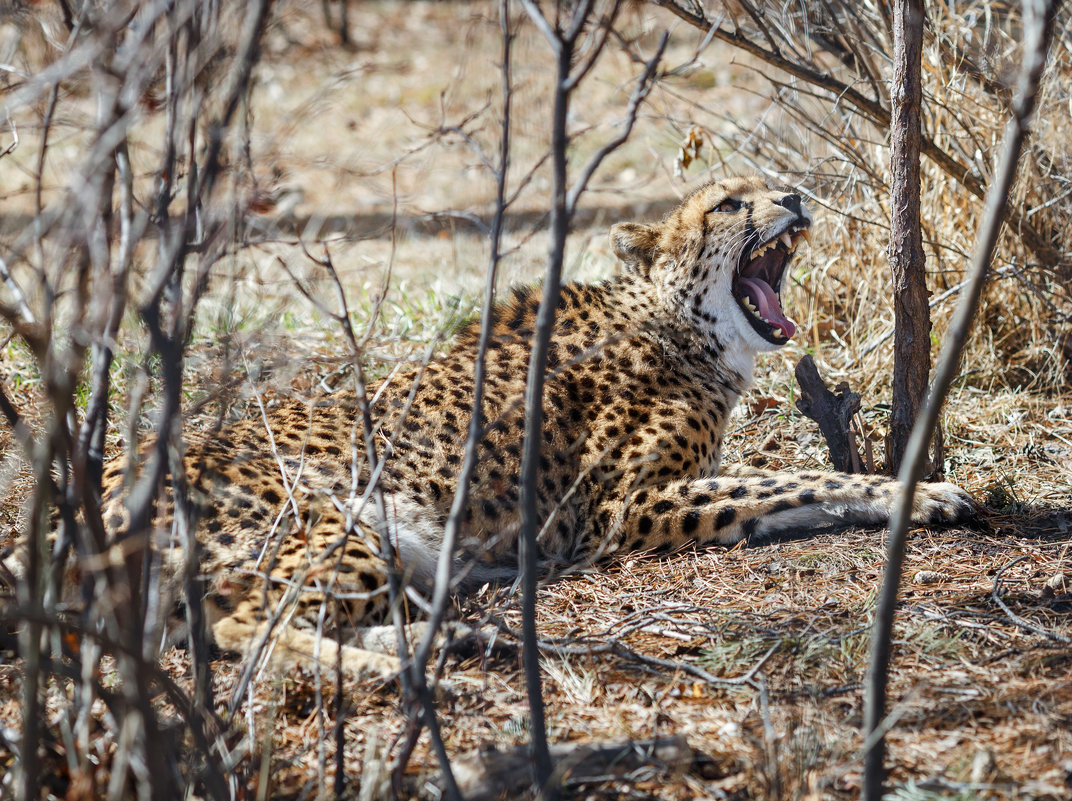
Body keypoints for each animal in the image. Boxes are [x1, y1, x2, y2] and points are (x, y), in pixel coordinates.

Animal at [6, 176, 973, 681]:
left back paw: (455, 635)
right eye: (729, 204)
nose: (795, 195)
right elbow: (800, 480)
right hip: (340, 520)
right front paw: (927, 490)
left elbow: (791, 486)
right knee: (245, 627)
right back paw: (398, 666)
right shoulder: (623, 510)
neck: (679, 323)